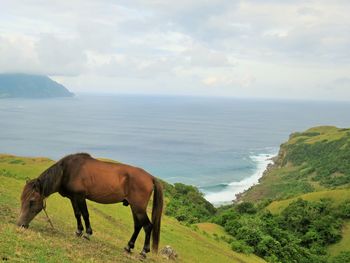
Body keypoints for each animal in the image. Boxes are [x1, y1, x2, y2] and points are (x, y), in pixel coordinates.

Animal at [17, 154, 163, 258]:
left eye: (31, 201)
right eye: (22, 199)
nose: (20, 224)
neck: (67, 171)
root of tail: (151, 177)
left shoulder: (81, 197)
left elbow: (85, 214)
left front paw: (87, 233)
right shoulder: (73, 198)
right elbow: (77, 214)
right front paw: (79, 231)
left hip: (138, 208)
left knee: (148, 226)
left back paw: (144, 252)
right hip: (134, 207)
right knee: (138, 226)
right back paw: (128, 246)